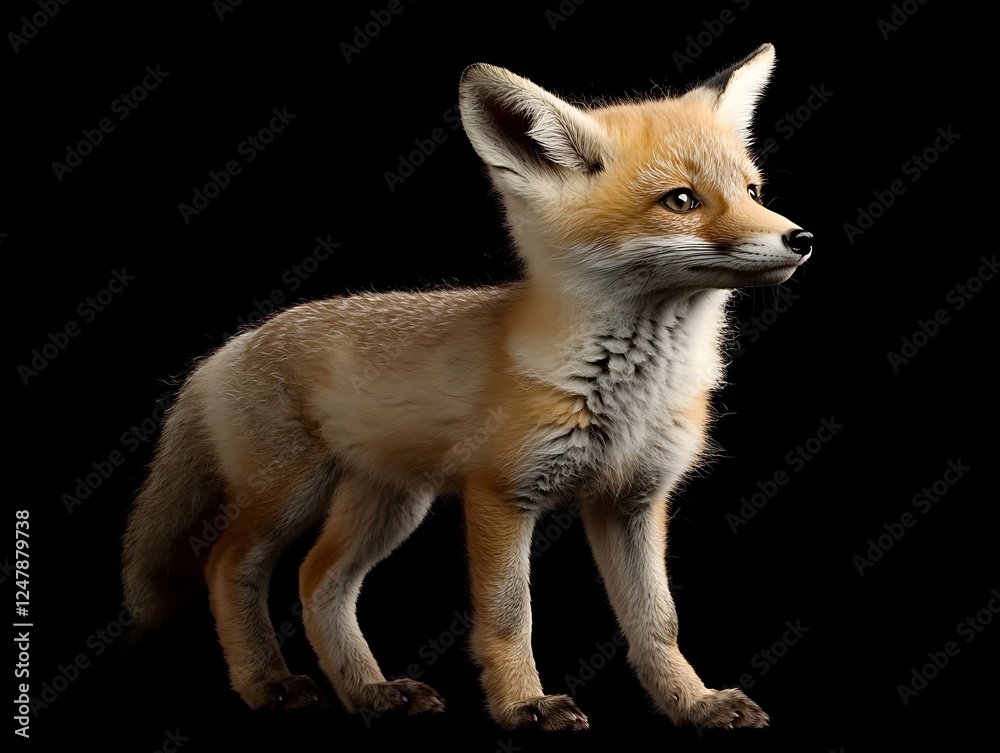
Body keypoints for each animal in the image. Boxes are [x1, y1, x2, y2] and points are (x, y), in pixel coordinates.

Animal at [122, 43, 812, 732]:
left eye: (753, 190)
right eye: (681, 200)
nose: (801, 237)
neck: (628, 389)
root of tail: (232, 345)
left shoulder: (632, 501)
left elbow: (658, 621)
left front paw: (692, 703)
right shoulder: (502, 494)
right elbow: (510, 617)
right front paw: (524, 706)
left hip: (393, 504)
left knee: (318, 581)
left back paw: (371, 692)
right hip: (290, 494)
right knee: (228, 566)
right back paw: (269, 684)